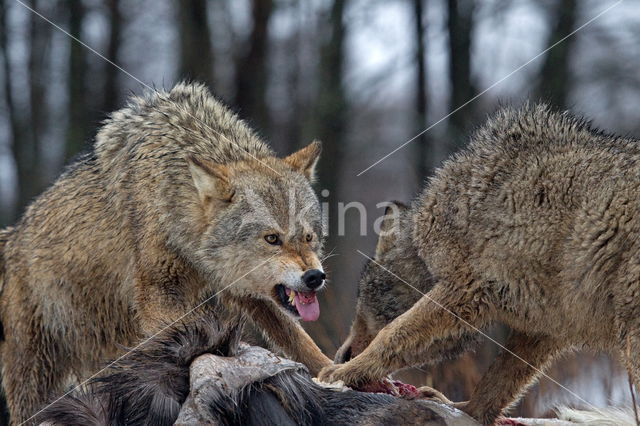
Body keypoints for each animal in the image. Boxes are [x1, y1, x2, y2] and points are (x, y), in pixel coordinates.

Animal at [0, 82, 332, 422]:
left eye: (308, 237)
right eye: (272, 239)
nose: (314, 277)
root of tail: (12, 238)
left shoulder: (241, 291)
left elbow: (297, 338)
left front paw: (330, 372)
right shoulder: (158, 294)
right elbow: (187, 332)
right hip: (37, 375)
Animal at [318, 105, 640, 424]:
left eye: (362, 306)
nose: (343, 355)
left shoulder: (464, 290)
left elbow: (392, 333)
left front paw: (343, 373)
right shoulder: (542, 328)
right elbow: (497, 382)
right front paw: (465, 409)